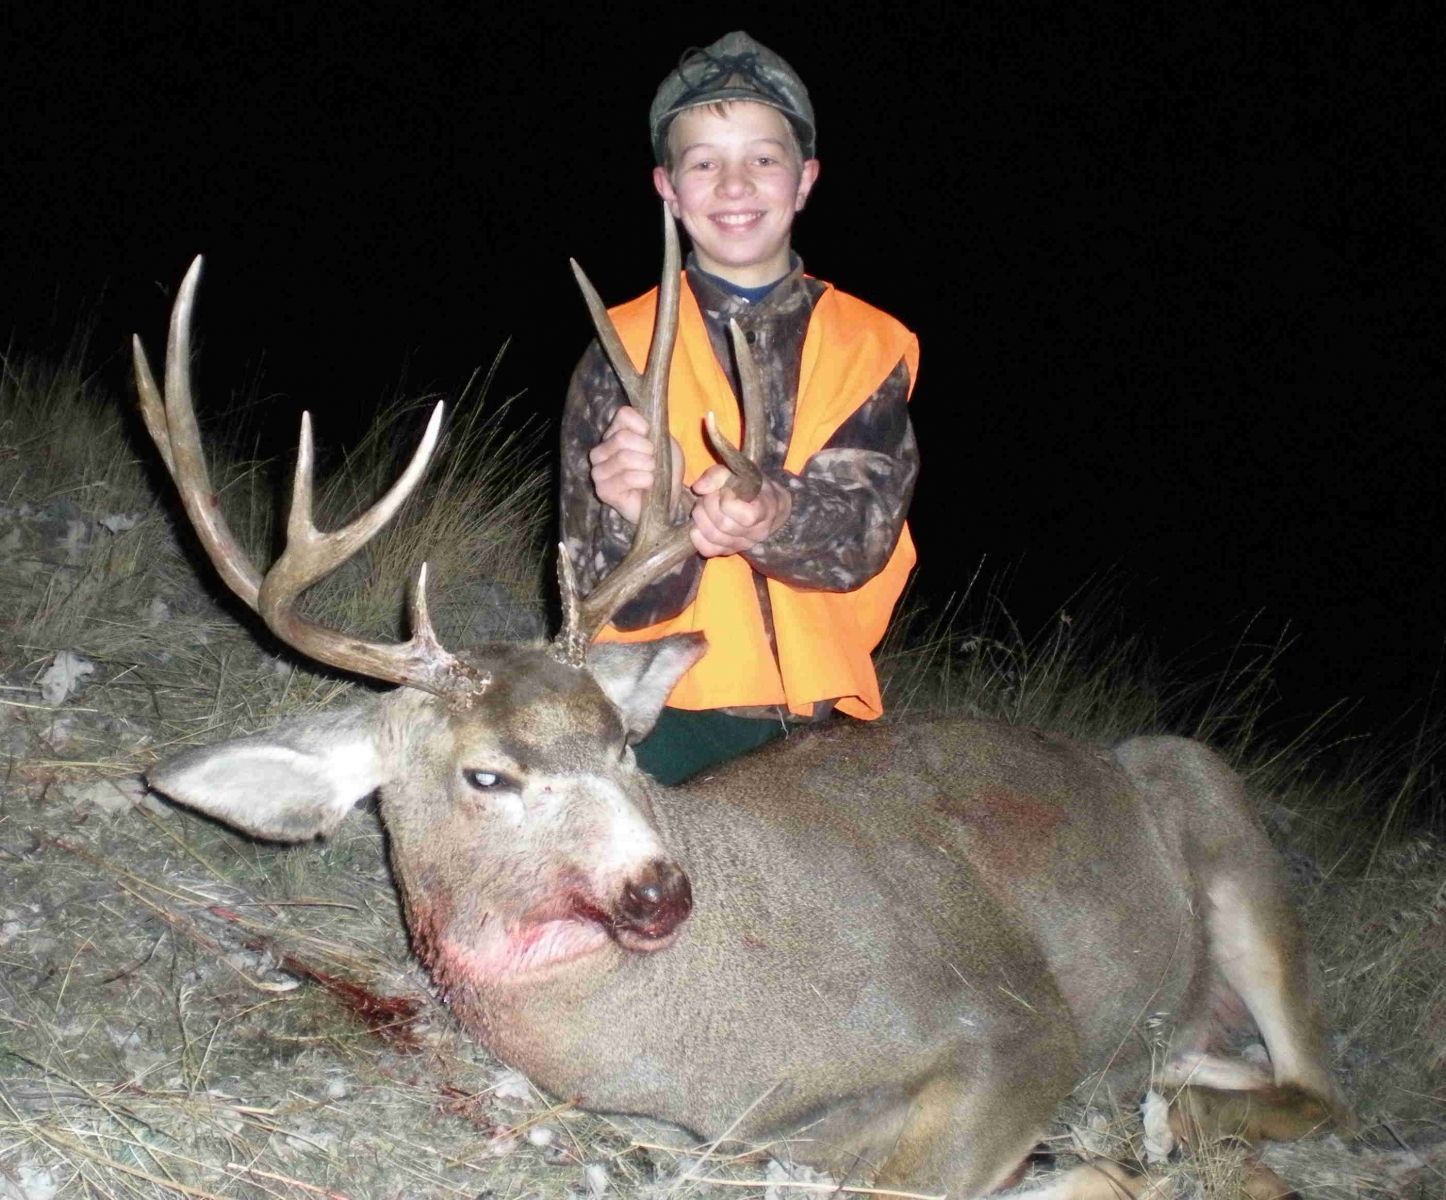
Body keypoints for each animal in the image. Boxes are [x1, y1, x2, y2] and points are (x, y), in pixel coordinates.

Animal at [133, 212, 1345, 1199]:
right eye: (486, 774)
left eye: (624, 746)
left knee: (1317, 1083)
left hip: (1220, 812)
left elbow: (920, 1169)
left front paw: (1107, 1153)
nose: (660, 891)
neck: (702, 1036)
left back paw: (1171, 1102)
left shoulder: (1015, 1022)